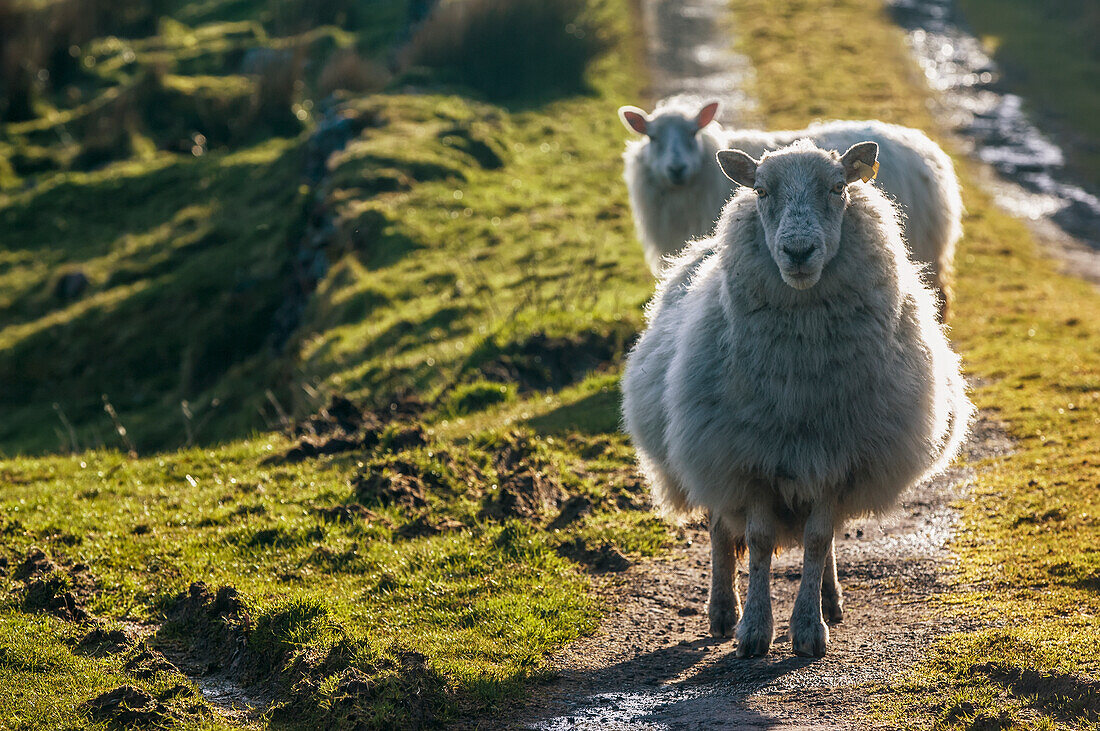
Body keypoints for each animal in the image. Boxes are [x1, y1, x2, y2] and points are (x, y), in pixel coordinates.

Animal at [620, 136, 972, 655]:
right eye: (761, 191)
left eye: (838, 187)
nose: (799, 251)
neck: (801, 383)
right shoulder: (749, 460)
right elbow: (759, 541)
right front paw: (753, 630)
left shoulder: (838, 458)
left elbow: (819, 539)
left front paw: (808, 628)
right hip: (709, 452)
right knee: (720, 529)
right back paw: (722, 611)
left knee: (819, 539)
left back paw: (829, 598)